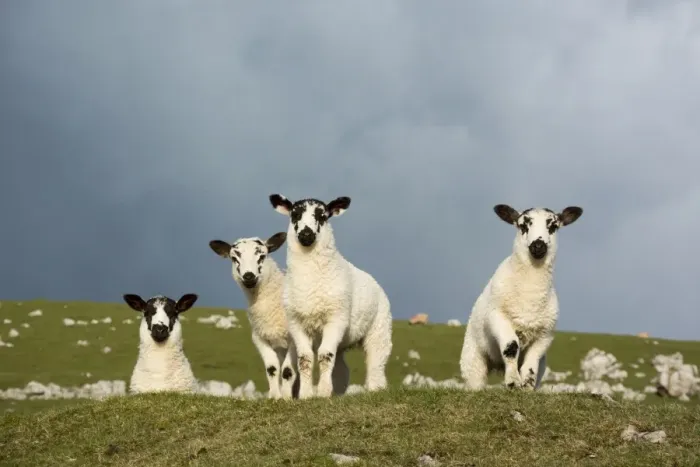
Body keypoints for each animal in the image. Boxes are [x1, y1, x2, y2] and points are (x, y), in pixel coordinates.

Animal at [208, 232, 299, 399]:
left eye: (262, 255)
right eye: (234, 258)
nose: (249, 276)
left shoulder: (294, 338)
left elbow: (287, 370)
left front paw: (286, 397)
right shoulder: (259, 337)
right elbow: (272, 368)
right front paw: (275, 396)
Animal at [269, 194, 393, 399]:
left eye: (323, 216)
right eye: (295, 215)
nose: (306, 234)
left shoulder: (336, 318)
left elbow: (325, 355)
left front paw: (323, 393)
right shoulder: (296, 322)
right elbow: (305, 359)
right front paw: (306, 395)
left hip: (379, 328)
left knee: (376, 361)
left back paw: (375, 389)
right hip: (343, 342)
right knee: (342, 368)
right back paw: (339, 392)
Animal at [460, 204, 583, 391]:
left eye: (553, 226)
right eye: (522, 225)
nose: (538, 245)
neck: (530, 295)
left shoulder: (545, 333)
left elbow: (532, 361)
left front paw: (526, 386)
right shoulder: (498, 318)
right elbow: (511, 347)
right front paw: (512, 382)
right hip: (473, 359)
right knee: (476, 380)